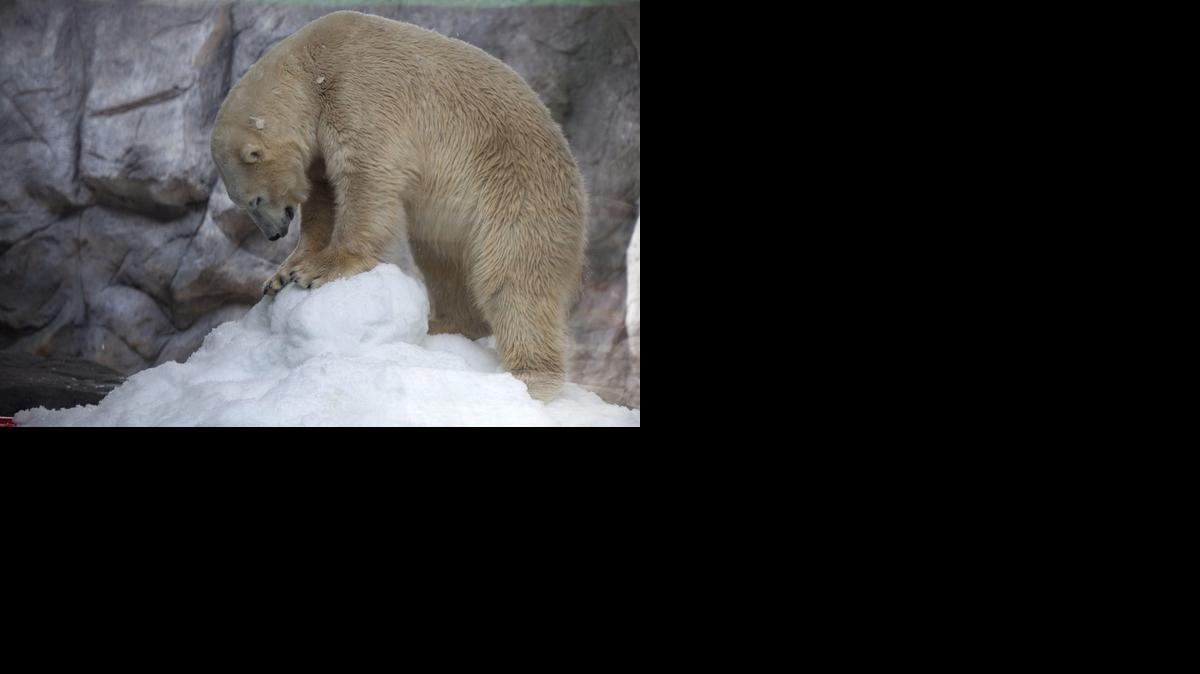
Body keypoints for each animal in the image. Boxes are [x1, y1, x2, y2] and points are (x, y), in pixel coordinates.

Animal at [210, 11, 587, 401]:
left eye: (253, 200)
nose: (273, 234)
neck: (312, 67)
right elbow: (322, 197)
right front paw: (283, 273)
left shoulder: (359, 93)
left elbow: (367, 177)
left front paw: (320, 270)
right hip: (456, 219)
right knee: (442, 261)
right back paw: (443, 324)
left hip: (519, 191)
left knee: (514, 278)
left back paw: (532, 377)